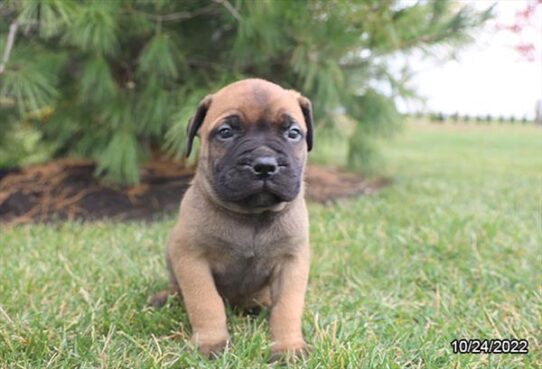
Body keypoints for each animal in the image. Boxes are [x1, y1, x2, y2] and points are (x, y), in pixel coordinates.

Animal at [151, 78, 316, 360]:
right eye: (226, 132)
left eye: (293, 133)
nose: (264, 164)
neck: (251, 217)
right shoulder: (192, 259)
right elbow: (205, 302)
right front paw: (211, 342)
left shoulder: (292, 262)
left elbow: (287, 307)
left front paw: (288, 347)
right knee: (177, 289)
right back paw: (164, 298)